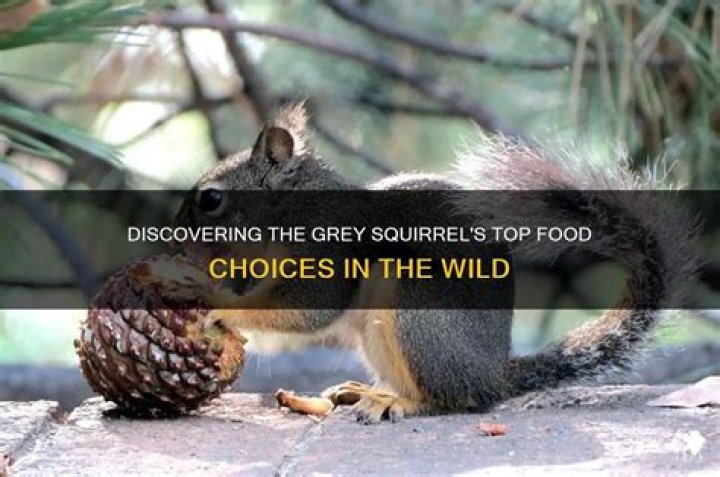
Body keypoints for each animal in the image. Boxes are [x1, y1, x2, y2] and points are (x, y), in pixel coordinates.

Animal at [175, 103, 697, 423]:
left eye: (211, 200)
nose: (177, 237)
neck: (291, 212)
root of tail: (492, 374)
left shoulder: (330, 252)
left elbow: (308, 309)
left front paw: (215, 304)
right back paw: (359, 392)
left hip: (417, 309)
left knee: (452, 400)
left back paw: (398, 405)